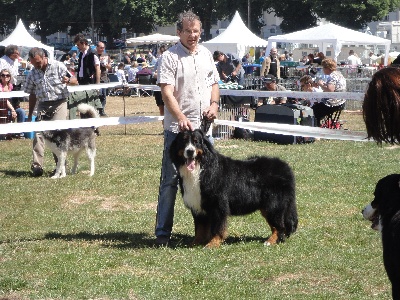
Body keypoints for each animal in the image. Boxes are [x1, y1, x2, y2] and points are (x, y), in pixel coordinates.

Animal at [170, 129, 298, 248]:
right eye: (184, 141)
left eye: (196, 142)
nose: (190, 151)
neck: (201, 168)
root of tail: (286, 167)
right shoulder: (198, 206)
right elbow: (200, 229)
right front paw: (195, 243)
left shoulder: (218, 205)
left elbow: (218, 227)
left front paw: (213, 243)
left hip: (273, 205)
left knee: (279, 226)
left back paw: (270, 241)